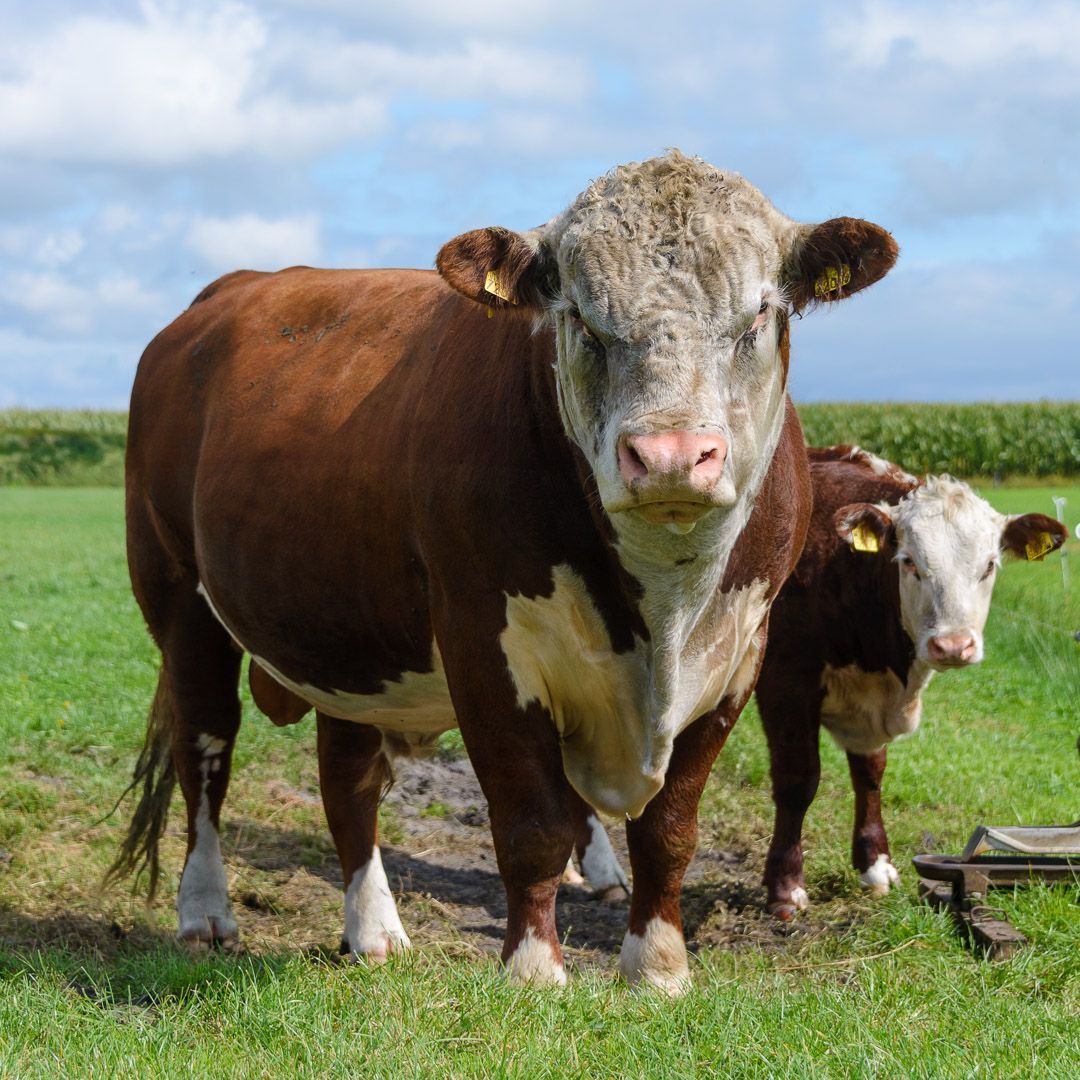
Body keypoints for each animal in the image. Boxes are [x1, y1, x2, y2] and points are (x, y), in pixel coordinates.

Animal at [112, 151, 898, 993]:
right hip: (181, 602)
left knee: (348, 776)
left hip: (347, 632)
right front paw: (533, 968)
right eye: (579, 317)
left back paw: (372, 928)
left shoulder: (741, 656)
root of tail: (224, 294)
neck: (663, 612)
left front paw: (658, 966)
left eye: (757, 316)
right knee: (205, 750)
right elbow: (532, 825)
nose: (670, 456)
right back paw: (205, 911)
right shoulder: (484, 646)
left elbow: (669, 829)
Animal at [758, 445, 1068, 918]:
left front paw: (874, 864)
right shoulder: (784, 683)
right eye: (909, 563)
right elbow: (798, 781)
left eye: (989, 566)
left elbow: (870, 774)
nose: (953, 645)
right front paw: (786, 886)